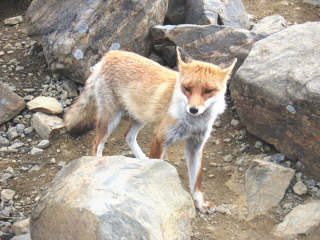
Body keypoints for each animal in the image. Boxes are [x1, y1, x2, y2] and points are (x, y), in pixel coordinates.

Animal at [63, 47, 236, 214]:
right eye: (187, 88)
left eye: (208, 91)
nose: (193, 109)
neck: (192, 123)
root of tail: (110, 54)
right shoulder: (160, 137)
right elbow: (158, 168)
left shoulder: (196, 144)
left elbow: (196, 180)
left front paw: (201, 203)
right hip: (111, 119)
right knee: (97, 143)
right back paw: (100, 164)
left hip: (139, 116)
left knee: (128, 136)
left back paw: (143, 160)